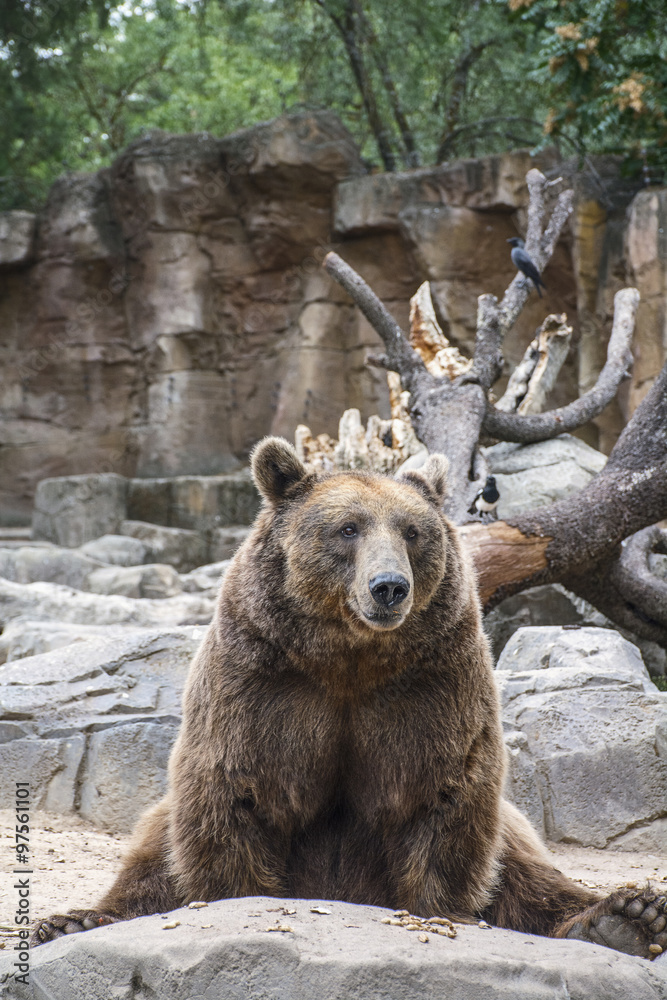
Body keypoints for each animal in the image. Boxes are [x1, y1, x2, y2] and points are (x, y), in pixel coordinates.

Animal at [33, 437, 667, 958]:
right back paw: (73, 921)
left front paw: (440, 910)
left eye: (411, 531)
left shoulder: (430, 681)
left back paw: (625, 916)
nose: (389, 587)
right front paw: (235, 899)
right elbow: (235, 786)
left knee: (529, 875)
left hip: (511, 833)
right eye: (347, 528)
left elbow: (443, 788)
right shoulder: (262, 676)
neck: (349, 656)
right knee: (149, 855)